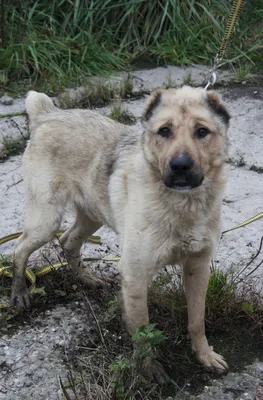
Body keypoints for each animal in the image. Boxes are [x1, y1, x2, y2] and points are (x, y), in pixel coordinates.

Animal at [10, 86, 230, 382]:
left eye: (202, 131)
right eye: (164, 131)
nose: (180, 166)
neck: (184, 204)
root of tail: (48, 113)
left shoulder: (198, 269)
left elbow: (197, 320)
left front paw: (204, 355)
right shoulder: (135, 276)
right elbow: (143, 331)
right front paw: (149, 368)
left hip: (92, 214)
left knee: (68, 241)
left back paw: (88, 279)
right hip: (46, 219)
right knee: (20, 247)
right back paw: (20, 292)